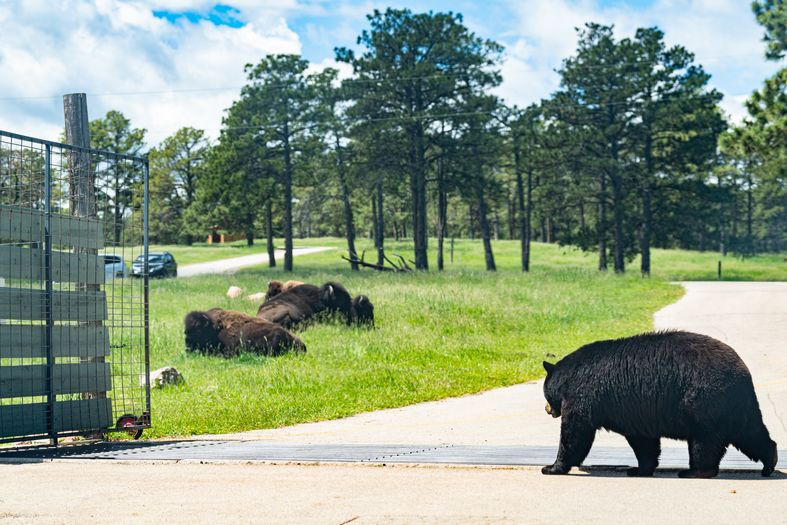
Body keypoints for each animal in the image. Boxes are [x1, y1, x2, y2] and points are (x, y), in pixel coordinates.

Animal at [541, 330, 777, 478]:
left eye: (545, 393)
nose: (547, 409)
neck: (568, 377)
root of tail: (743, 372)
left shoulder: (583, 397)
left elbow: (575, 434)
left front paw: (552, 467)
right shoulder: (633, 412)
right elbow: (643, 442)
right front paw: (639, 469)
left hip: (704, 401)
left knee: (705, 439)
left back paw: (695, 471)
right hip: (736, 406)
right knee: (751, 433)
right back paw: (770, 462)